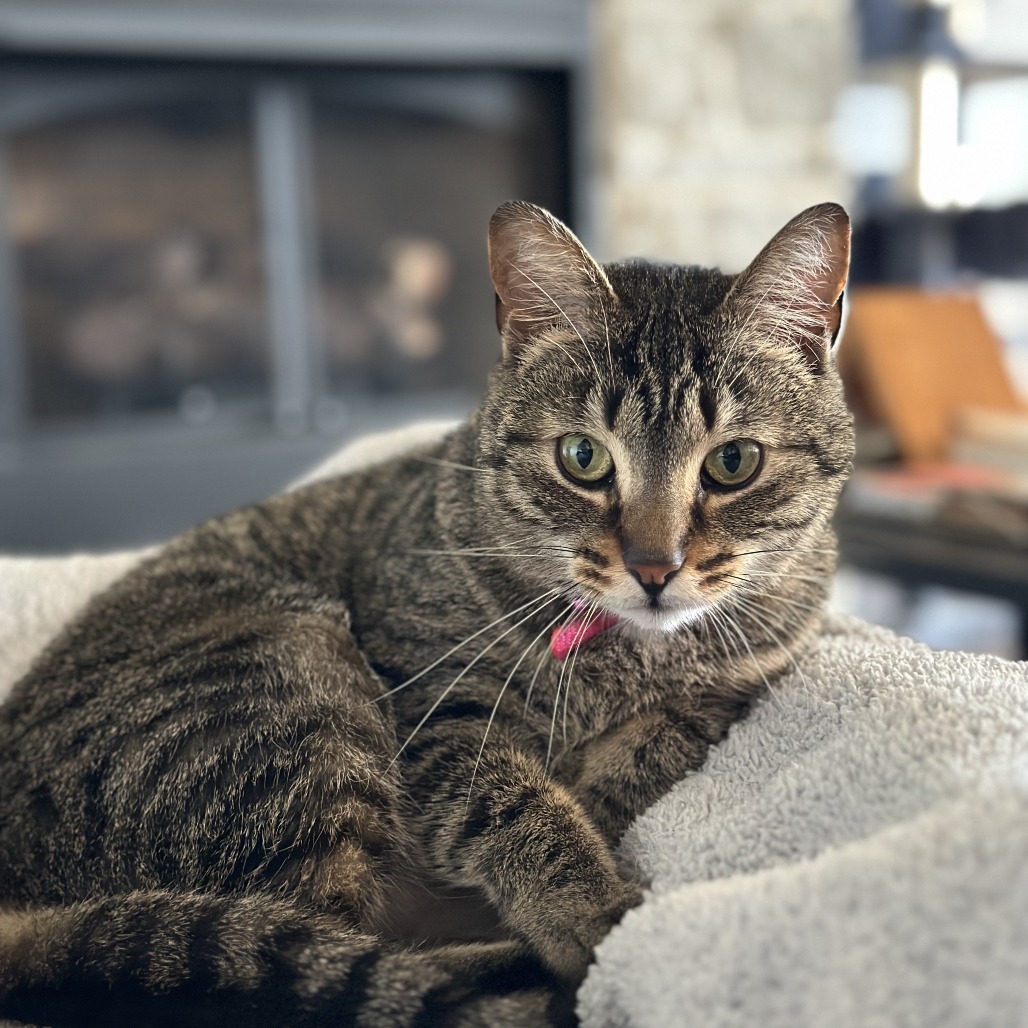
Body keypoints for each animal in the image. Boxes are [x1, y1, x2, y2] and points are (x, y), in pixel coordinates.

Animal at [0, 200, 851, 1028]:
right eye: (582, 458)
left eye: (733, 463)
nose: (654, 568)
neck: (626, 653)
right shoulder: (441, 702)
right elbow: (517, 812)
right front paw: (595, 913)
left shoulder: (731, 689)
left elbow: (634, 761)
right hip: (294, 685)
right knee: (309, 950)